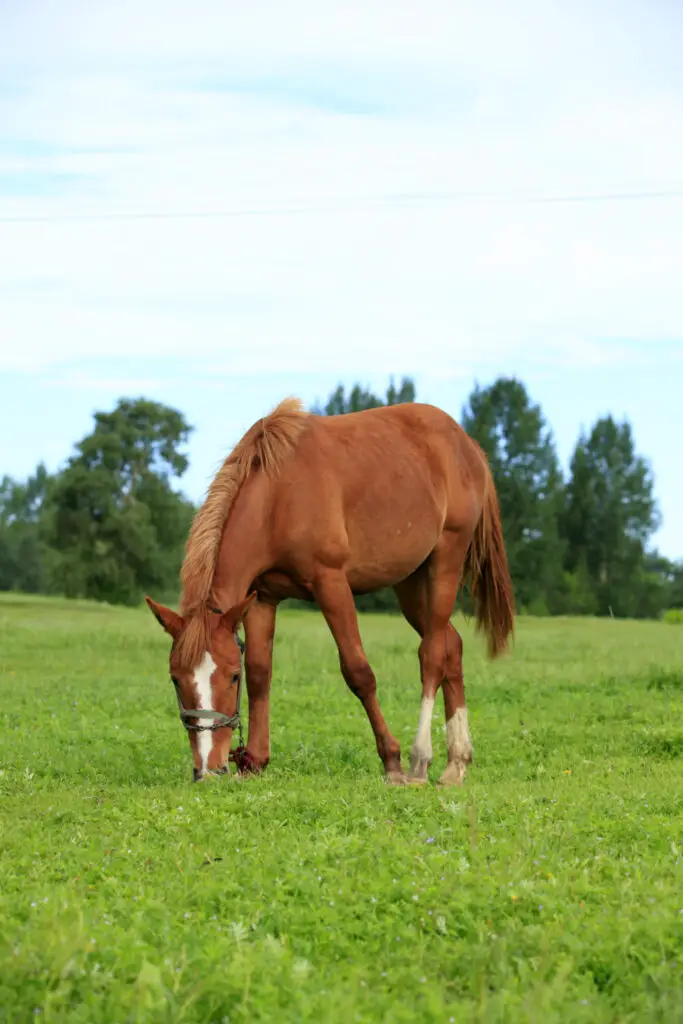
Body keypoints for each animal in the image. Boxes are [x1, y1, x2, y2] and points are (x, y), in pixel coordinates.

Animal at [148, 397, 511, 782]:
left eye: (232, 677)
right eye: (175, 679)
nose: (208, 768)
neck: (277, 495)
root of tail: (468, 445)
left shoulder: (331, 583)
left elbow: (358, 671)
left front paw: (391, 760)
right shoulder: (262, 598)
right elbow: (261, 673)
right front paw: (255, 760)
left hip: (445, 561)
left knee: (433, 654)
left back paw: (419, 758)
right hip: (411, 581)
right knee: (452, 646)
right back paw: (456, 763)